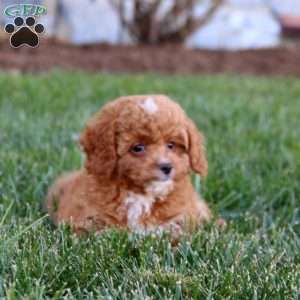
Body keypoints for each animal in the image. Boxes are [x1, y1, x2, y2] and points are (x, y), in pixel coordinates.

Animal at [46, 95, 220, 237]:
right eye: (138, 148)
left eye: (171, 145)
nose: (166, 167)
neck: (141, 194)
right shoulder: (88, 219)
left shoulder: (180, 219)